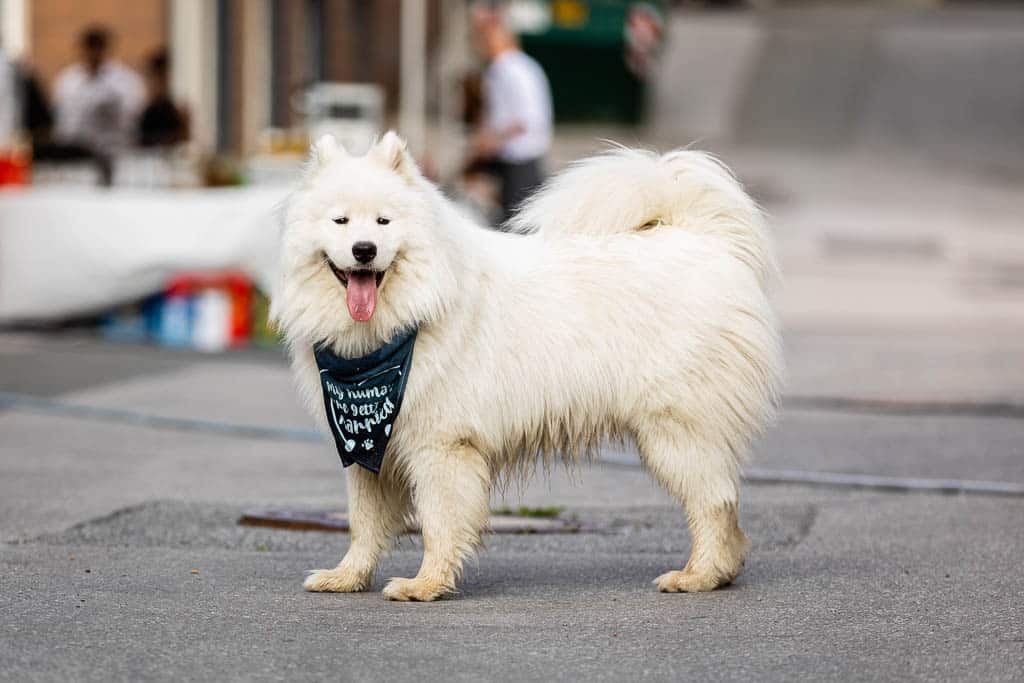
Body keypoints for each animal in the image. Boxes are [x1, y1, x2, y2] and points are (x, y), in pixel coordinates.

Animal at [268, 131, 778, 602]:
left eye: (383, 221)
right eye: (340, 220)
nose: (364, 249)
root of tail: (705, 240)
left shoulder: (442, 446)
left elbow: (437, 522)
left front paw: (426, 584)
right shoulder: (370, 451)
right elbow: (363, 524)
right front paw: (347, 577)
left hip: (675, 429)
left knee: (714, 502)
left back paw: (698, 575)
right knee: (726, 506)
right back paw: (722, 570)